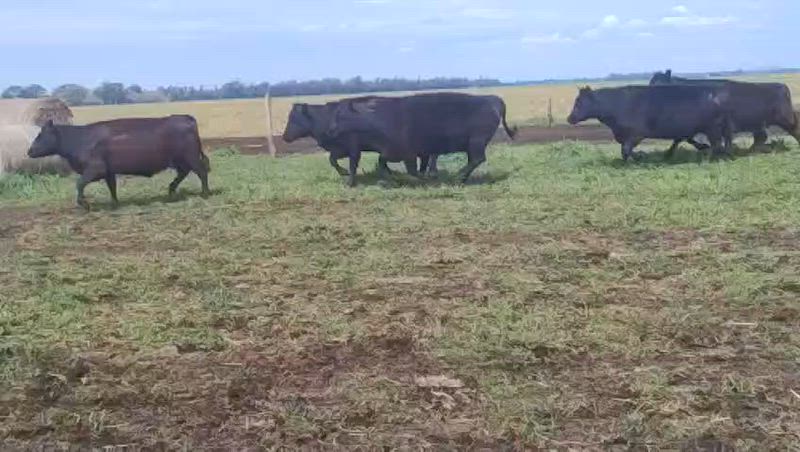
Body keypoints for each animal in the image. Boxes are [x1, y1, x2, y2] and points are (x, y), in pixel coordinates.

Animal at [27, 115, 210, 209]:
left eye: (40, 135)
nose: (29, 151)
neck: (80, 139)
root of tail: (186, 118)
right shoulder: (109, 171)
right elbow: (112, 187)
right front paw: (114, 203)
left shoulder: (96, 169)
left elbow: (79, 183)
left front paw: (83, 203)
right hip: (180, 159)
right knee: (184, 172)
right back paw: (171, 190)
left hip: (190, 156)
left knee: (201, 171)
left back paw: (205, 193)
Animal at [326, 92, 517, 183]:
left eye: (340, 116)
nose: (331, 131)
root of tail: (493, 99)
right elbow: (385, 163)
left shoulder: (405, 152)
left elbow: (410, 168)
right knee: (474, 160)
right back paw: (459, 177)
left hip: (476, 141)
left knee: (477, 159)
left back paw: (457, 177)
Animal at [567, 85, 732, 161]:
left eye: (579, 103)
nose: (569, 118)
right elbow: (624, 150)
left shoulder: (636, 134)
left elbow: (626, 150)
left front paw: (641, 156)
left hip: (712, 128)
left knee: (717, 145)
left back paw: (710, 158)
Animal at [650, 69, 800, 151]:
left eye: (660, 85)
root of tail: (781, 85)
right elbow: (682, 138)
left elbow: (683, 138)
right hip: (757, 123)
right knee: (760, 137)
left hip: (784, 118)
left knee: (793, 130)